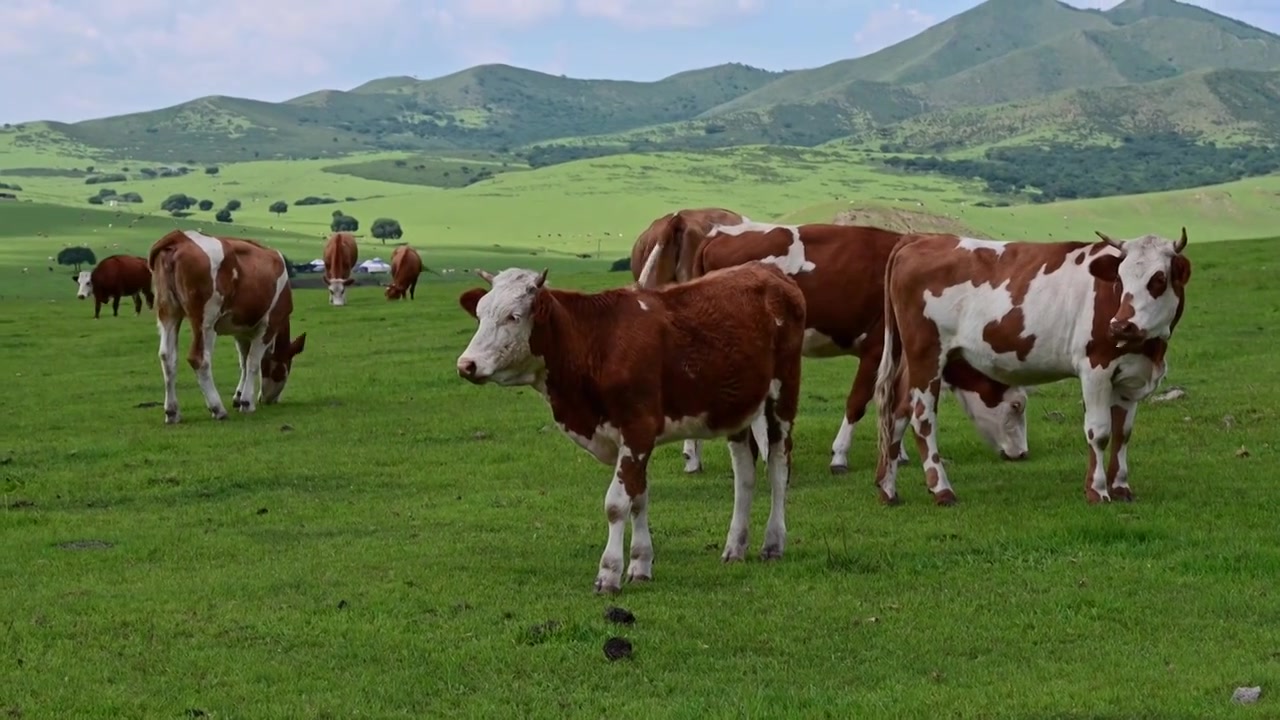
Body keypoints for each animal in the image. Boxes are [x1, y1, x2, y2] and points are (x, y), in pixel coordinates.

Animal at [147, 226, 307, 422]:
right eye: (285, 369)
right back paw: (218, 408)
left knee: (167, 357)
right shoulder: (269, 325)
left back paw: (172, 411)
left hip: (168, 313)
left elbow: (244, 361)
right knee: (199, 359)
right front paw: (246, 402)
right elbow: (253, 362)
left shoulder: (241, 330)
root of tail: (180, 237)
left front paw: (238, 396)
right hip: (206, 320)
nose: (270, 400)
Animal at [455, 260, 803, 591]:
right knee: (744, 474)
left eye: (513, 317)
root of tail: (769, 271)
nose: (466, 364)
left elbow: (617, 504)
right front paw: (640, 565)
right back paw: (735, 547)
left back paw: (773, 543)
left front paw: (609, 574)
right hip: (737, 407)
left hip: (782, 395)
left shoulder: (638, 429)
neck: (597, 342)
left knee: (778, 465)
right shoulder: (631, 439)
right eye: (480, 314)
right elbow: (638, 498)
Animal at [640, 219, 1029, 476]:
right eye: (1016, 405)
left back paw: (698, 456)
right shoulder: (877, 348)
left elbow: (896, 402)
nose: (1023, 454)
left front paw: (898, 451)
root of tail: (716, 235)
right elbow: (859, 401)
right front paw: (840, 455)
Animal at [875, 226, 1192, 502]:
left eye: (1158, 279)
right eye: (1120, 279)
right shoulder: (1095, 369)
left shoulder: (1130, 377)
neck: (1151, 348)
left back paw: (888, 489)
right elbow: (1099, 432)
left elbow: (1122, 434)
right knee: (922, 416)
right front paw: (1097, 490)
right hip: (927, 353)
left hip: (914, 359)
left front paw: (1121, 487)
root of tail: (921, 239)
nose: (1121, 326)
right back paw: (941, 489)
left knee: (898, 409)